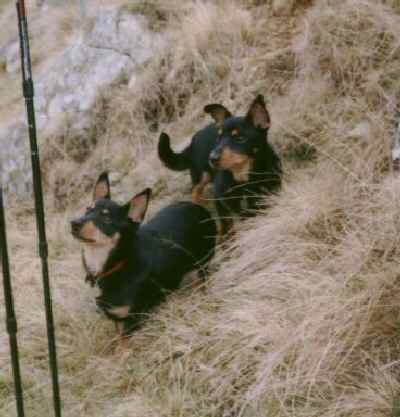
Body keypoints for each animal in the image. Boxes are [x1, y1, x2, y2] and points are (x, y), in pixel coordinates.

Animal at [70, 172, 217, 338]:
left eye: (106, 219)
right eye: (87, 209)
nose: (74, 223)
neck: (118, 262)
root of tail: (198, 207)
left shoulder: (131, 320)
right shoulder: (118, 320)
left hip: (202, 264)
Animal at [157, 95, 282, 236]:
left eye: (240, 139)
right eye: (219, 138)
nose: (212, 158)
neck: (244, 179)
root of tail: (193, 140)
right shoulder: (219, 196)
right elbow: (226, 220)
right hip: (202, 174)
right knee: (195, 190)